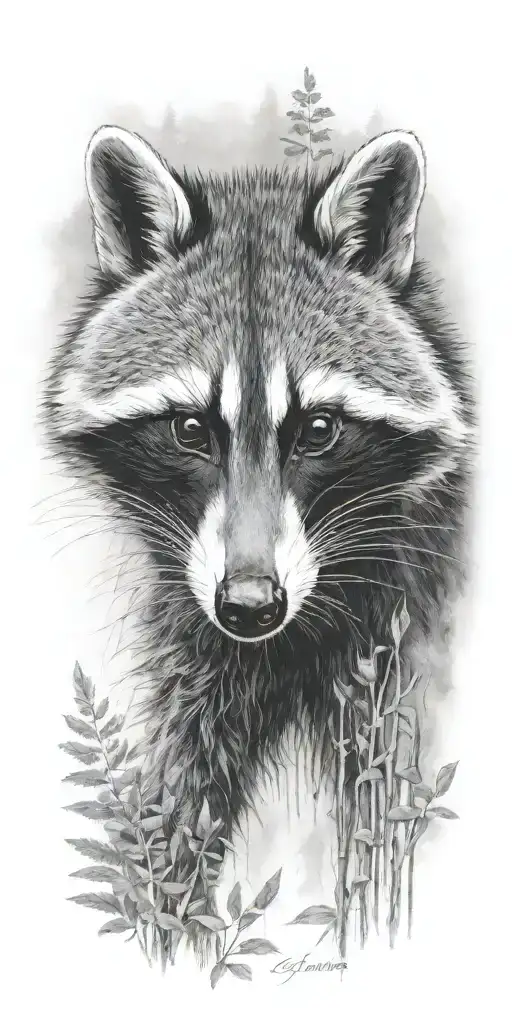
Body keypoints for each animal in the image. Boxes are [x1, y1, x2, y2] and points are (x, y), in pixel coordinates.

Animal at [43, 125, 474, 860]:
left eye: (319, 430)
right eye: (190, 430)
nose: (249, 606)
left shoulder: (400, 638)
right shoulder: (197, 654)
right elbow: (178, 800)